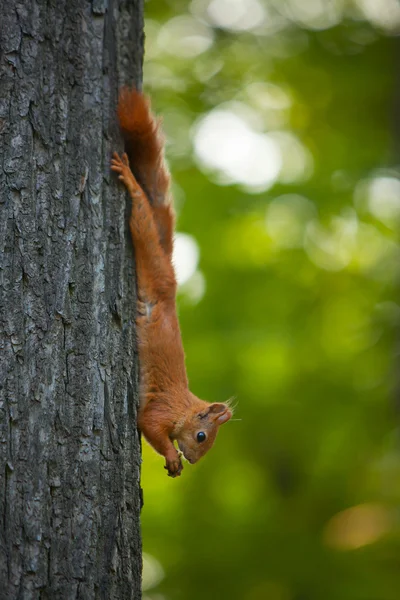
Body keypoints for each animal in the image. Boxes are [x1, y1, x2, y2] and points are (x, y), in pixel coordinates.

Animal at [111, 88, 233, 478]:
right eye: (201, 436)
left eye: (207, 444)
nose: (194, 461)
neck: (185, 406)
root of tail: (173, 283)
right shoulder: (161, 409)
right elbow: (148, 424)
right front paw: (171, 456)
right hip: (152, 266)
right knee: (143, 224)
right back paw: (132, 185)